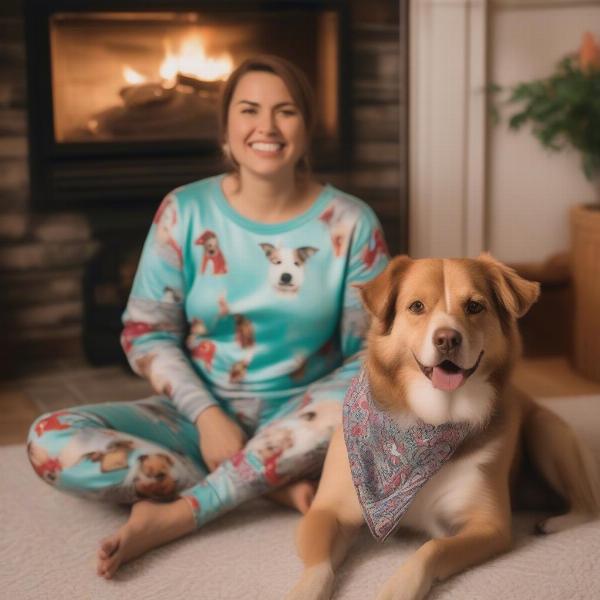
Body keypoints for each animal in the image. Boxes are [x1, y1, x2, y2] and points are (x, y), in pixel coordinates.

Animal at [286, 254, 600, 600]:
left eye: (475, 306)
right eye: (416, 306)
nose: (447, 339)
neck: (430, 418)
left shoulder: (489, 526)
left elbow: (432, 548)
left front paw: (397, 588)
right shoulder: (327, 512)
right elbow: (318, 566)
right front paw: (305, 590)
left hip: (545, 430)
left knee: (588, 505)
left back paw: (552, 524)